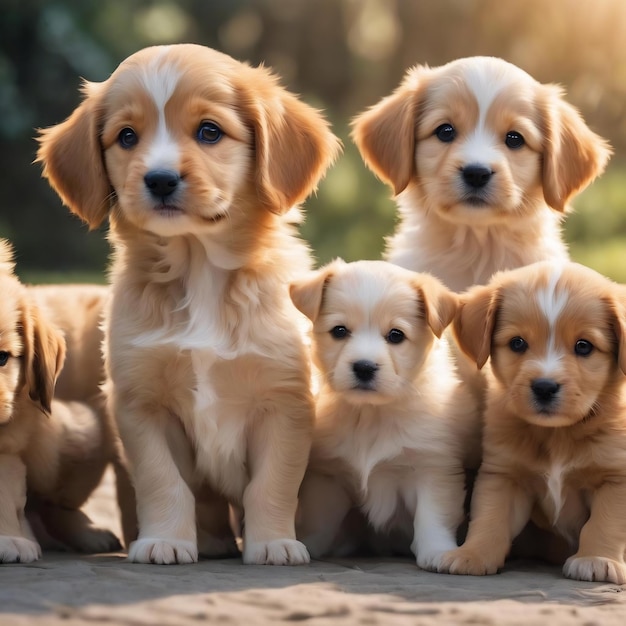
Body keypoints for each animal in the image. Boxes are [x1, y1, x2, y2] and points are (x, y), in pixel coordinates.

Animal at [36, 41, 338, 564]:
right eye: (127, 137)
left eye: (209, 131)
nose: (159, 180)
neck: (200, 272)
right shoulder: (142, 405)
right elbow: (164, 482)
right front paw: (165, 541)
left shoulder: (285, 402)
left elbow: (272, 484)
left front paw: (274, 543)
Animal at [288, 256, 478, 568]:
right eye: (339, 331)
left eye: (396, 335)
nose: (364, 367)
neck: (371, 415)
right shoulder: (328, 478)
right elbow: (320, 519)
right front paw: (307, 544)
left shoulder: (433, 469)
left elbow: (433, 518)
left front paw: (437, 551)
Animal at [436, 260, 624, 584]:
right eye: (517, 343)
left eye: (584, 346)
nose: (545, 387)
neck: (557, 435)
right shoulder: (504, 476)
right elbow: (490, 519)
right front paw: (472, 555)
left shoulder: (616, 479)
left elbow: (604, 522)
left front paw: (596, 559)